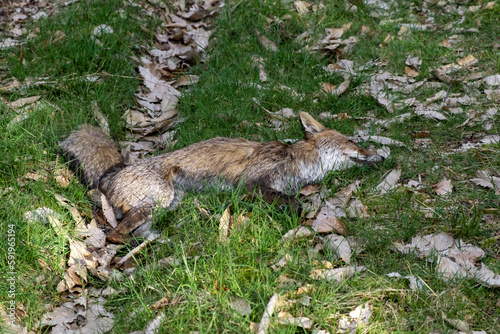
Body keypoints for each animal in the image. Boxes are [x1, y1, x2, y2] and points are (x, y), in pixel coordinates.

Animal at [61, 112, 382, 243]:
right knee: (114, 234)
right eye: (353, 141)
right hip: (161, 198)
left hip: (169, 203)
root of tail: (114, 172)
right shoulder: (251, 184)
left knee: (132, 231)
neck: (296, 161)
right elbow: (292, 202)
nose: (380, 154)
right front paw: (298, 216)